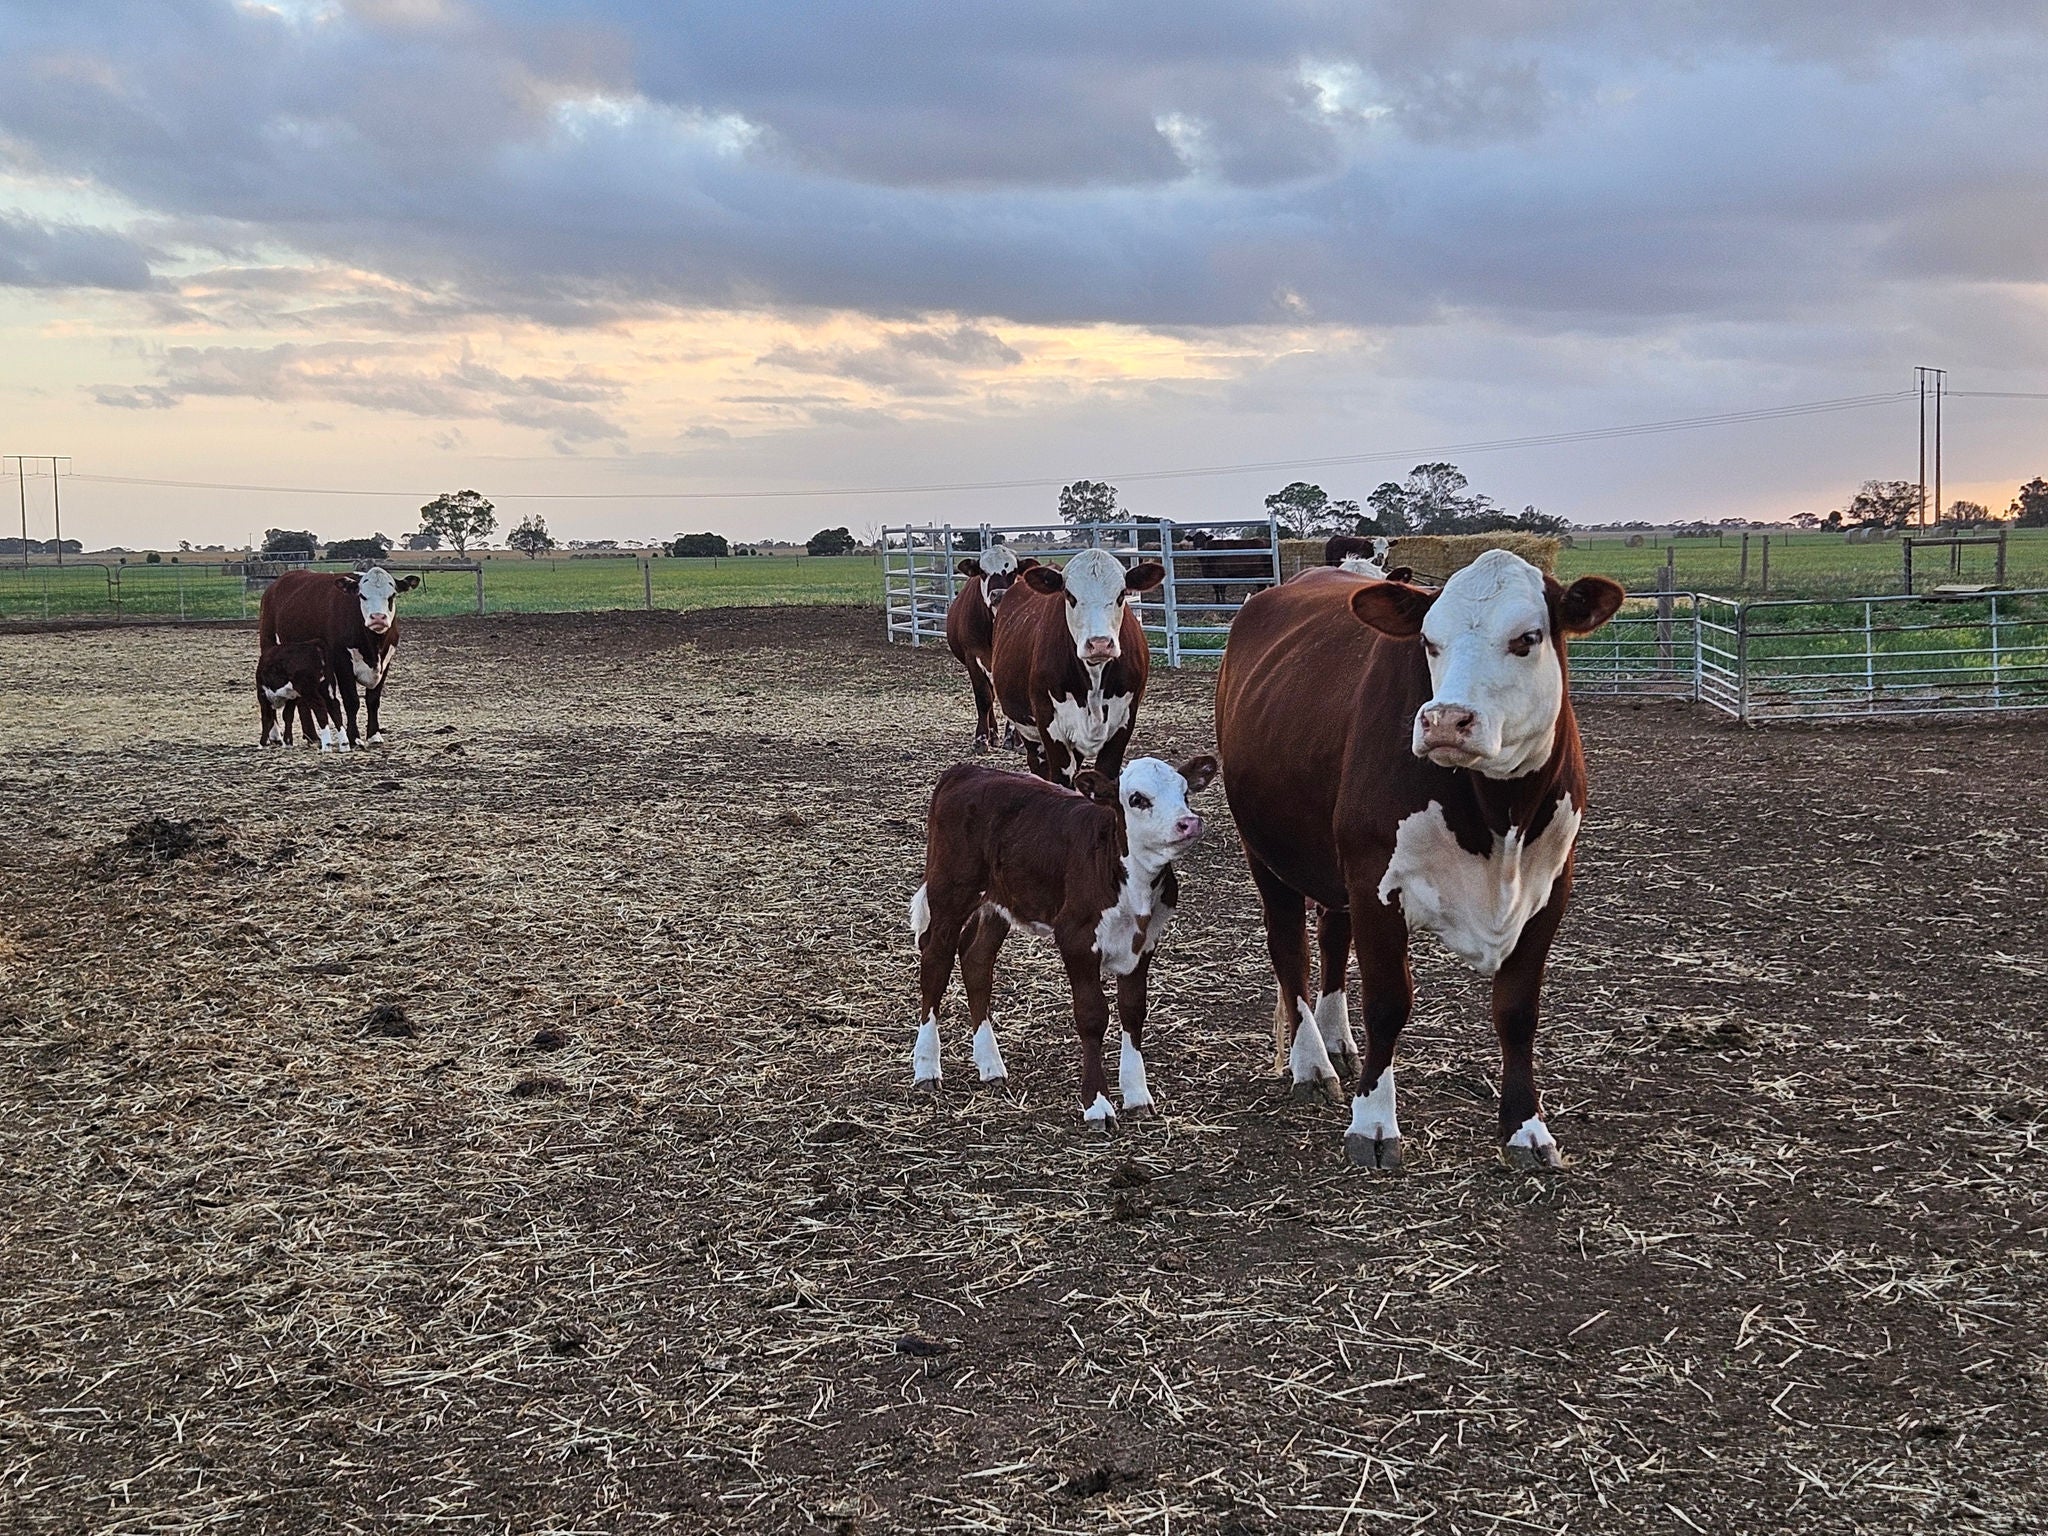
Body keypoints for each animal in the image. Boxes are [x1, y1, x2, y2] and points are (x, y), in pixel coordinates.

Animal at [258, 567, 421, 748]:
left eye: (391, 595)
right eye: (362, 595)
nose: (378, 617)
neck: (373, 646)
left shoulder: (385, 662)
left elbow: (373, 700)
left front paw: (374, 735)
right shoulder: (342, 662)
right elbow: (352, 701)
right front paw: (354, 737)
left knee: (301, 700)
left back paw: (311, 736)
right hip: (269, 645)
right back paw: (275, 735)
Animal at [909, 754, 1218, 1126]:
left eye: (1185, 792)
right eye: (1137, 799)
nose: (1189, 823)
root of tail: (968, 770)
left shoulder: (1144, 943)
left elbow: (1133, 1011)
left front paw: (1136, 1094)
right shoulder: (1076, 939)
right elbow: (1092, 1015)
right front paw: (1097, 1104)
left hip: (999, 901)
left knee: (977, 960)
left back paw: (990, 1065)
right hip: (950, 892)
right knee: (935, 963)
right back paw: (926, 1068)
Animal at [944, 545, 1039, 753]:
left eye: (1013, 572)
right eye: (983, 572)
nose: (998, 594)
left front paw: (1017, 740)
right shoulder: (973, 657)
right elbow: (983, 698)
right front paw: (981, 739)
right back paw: (993, 734)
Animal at [991, 549, 1164, 786]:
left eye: (1121, 594)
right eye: (1069, 595)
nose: (1099, 643)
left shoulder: (1125, 721)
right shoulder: (1049, 724)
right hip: (1028, 732)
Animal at [1215, 550, 1625, 1171]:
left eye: (1528, 637)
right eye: (1430, 641)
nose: (1445, 719)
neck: (1499, 816)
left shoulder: (1550, 888)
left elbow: (1518, 1012)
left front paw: (1526, 1128)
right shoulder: (1376, 883)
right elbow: (1388, 1003)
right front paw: (1373, 1123)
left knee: (1332, 935)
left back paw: (1337, 1039)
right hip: (1265, 848)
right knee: (1290, 950)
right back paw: (1311, 1061)